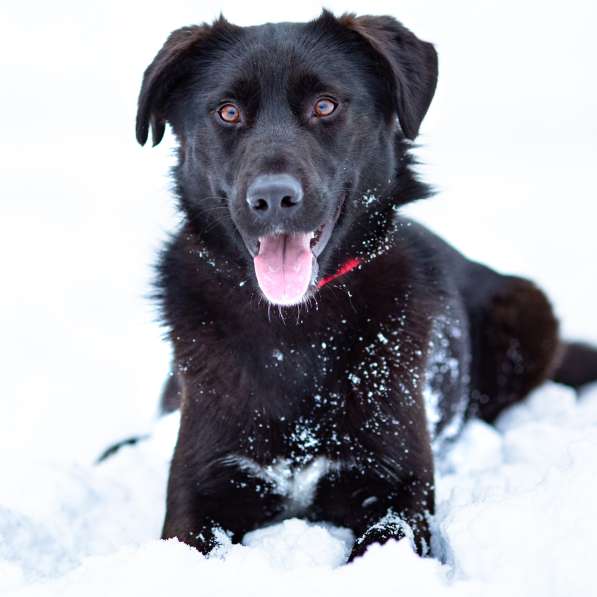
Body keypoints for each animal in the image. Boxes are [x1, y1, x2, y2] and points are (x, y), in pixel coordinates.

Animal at [132, 9, 597, 560]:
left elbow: (381, 544)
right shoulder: (200, 491)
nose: (272, 198)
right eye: (227, 112)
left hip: (528, 308)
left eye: (325, 105)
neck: (294, 331)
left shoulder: (399, 492)